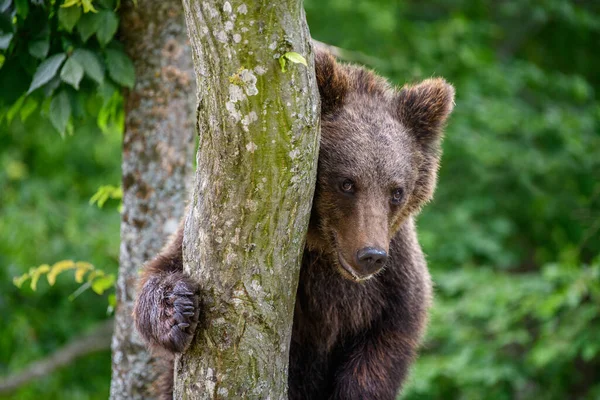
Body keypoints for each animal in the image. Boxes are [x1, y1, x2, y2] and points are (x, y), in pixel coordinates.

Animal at [134, 48, 454, 398]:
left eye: (397, 191)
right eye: (347, 183)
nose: (370, 255)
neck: (322, 252)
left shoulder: (391, 289)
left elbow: (382, 351)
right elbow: (159, 271)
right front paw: (178, 310)